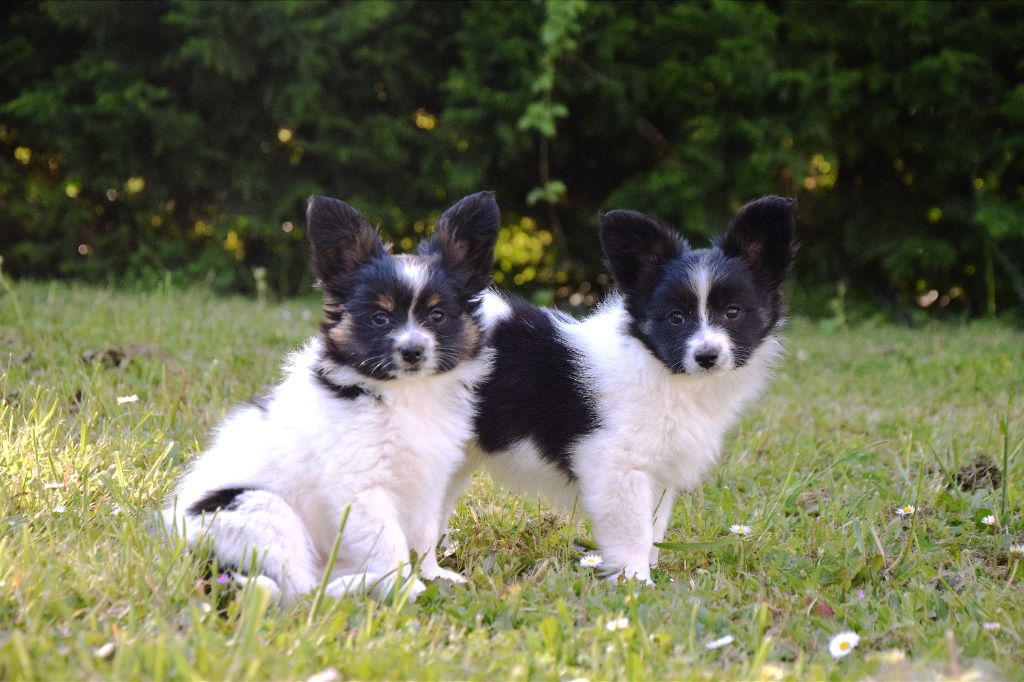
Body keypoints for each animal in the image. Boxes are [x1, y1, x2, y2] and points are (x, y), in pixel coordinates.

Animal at [162, 189, 499, 602]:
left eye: (437, 316)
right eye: (380, 318)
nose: (413, 351)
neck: (403, 395)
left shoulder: (428, 481)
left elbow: (423, 535)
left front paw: (434, 576)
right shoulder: (361, 489)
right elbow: (389, 544)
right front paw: (406, 590)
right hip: (255, 508)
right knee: (299, 592)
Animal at [458, 193, 798, 581]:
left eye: (733, 312)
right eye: (675, 318)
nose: (707, 356)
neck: (660, 370)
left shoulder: (659, 471)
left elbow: (655, 526)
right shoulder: (615, 465)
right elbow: (634, 530)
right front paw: (635, 581)